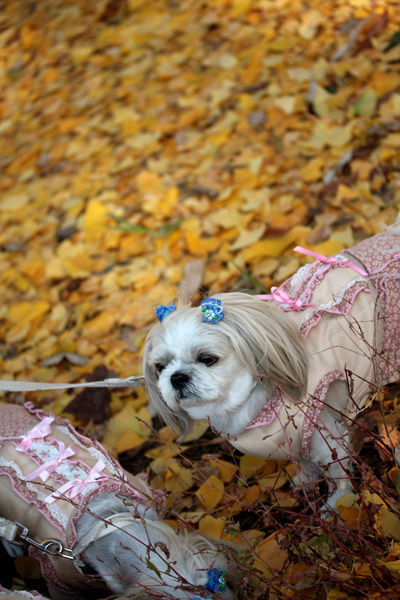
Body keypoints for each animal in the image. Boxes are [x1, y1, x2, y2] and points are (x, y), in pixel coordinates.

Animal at [145, 221, 400, 510]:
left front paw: (337, 504)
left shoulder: (323, 433)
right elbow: (304, 462)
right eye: (160, 366)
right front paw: (305, 482)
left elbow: (338, 470)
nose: (177, 377)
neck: (247, 404)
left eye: (207, 359)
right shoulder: (290, 442)